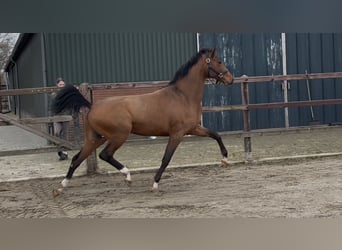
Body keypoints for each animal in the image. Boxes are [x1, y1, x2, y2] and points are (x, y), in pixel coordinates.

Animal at [53, 47, 234, 194]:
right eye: (219, 61)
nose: (230, 79)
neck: (182, 96)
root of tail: (92, 106)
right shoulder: (177, 134)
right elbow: (166, 158)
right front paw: (155, 184)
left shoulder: (193, 128)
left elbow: (216, 135)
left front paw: (225, 159)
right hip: (119, 135)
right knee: (105, 154)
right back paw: (127, 176)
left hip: (96, 138)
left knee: (77, 158)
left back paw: (62, 186)